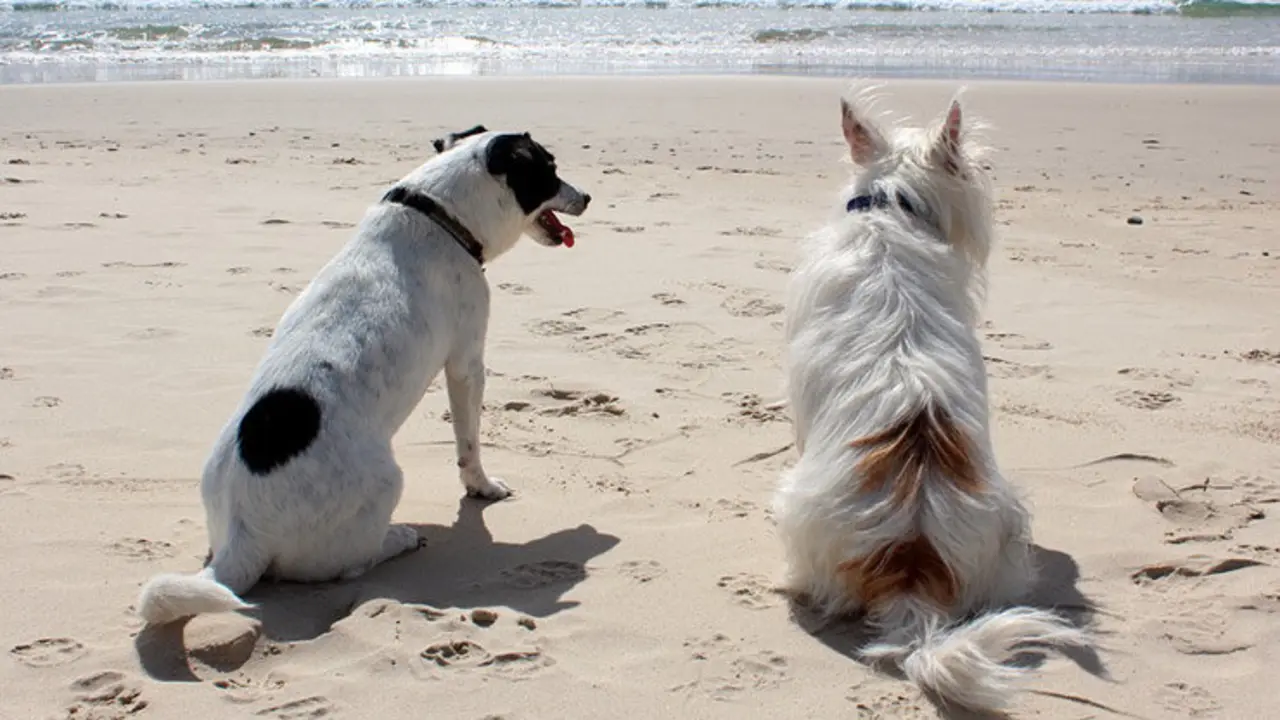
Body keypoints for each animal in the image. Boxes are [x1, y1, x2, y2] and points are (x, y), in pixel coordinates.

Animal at [138, 124, 588, 622]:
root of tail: (243, 535)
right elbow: (469, 444)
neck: (438, 214)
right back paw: (398, 538)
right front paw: (482, 487)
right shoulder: (466, 364)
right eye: (549, 169)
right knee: (350, 563)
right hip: (386, 483)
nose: (587, 197)